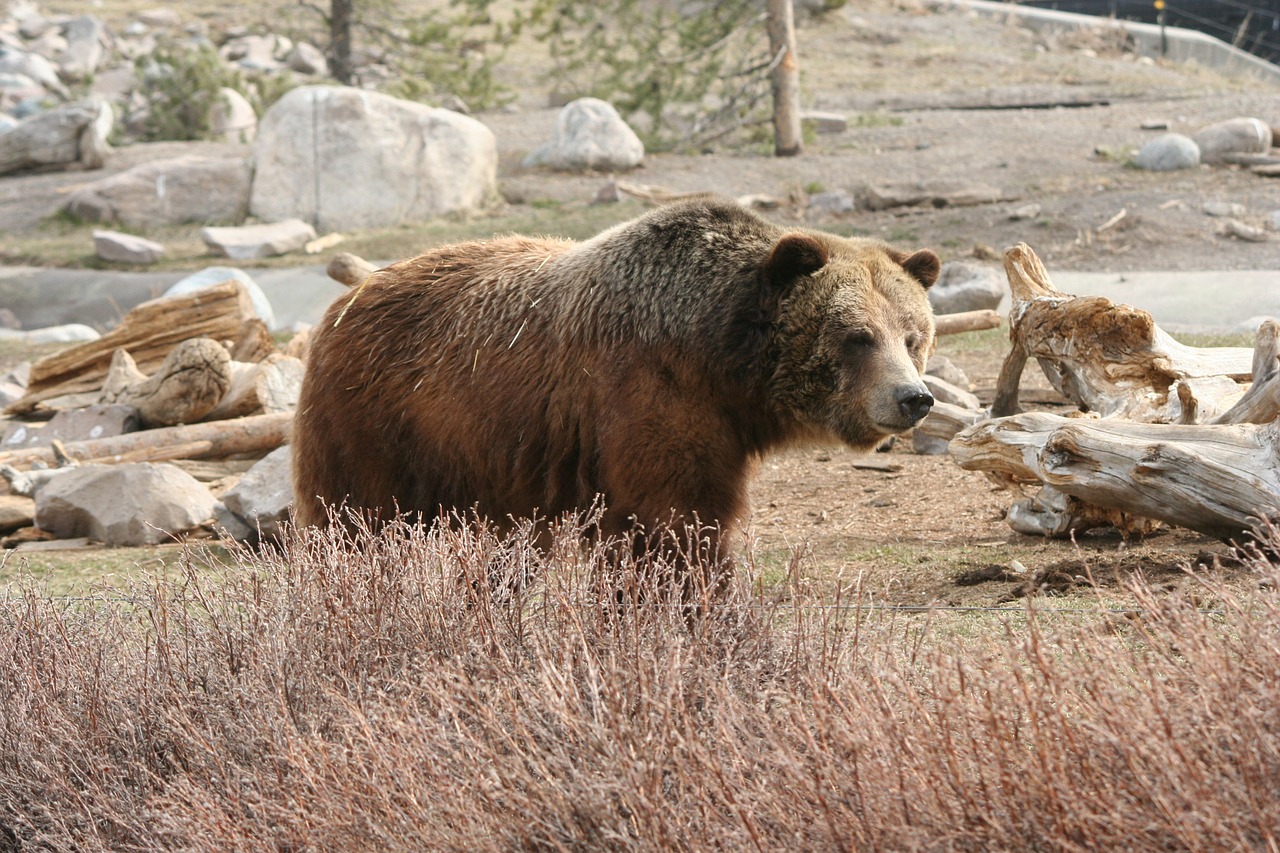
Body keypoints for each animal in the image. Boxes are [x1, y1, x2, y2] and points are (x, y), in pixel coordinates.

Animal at [293, 195, 942, 560]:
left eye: (913, 336)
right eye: (857, 336)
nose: (914, 398)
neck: (721, 361)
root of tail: (345, 301)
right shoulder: (650, 395)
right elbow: (673, 519)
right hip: (379, 424)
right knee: (355, 520)